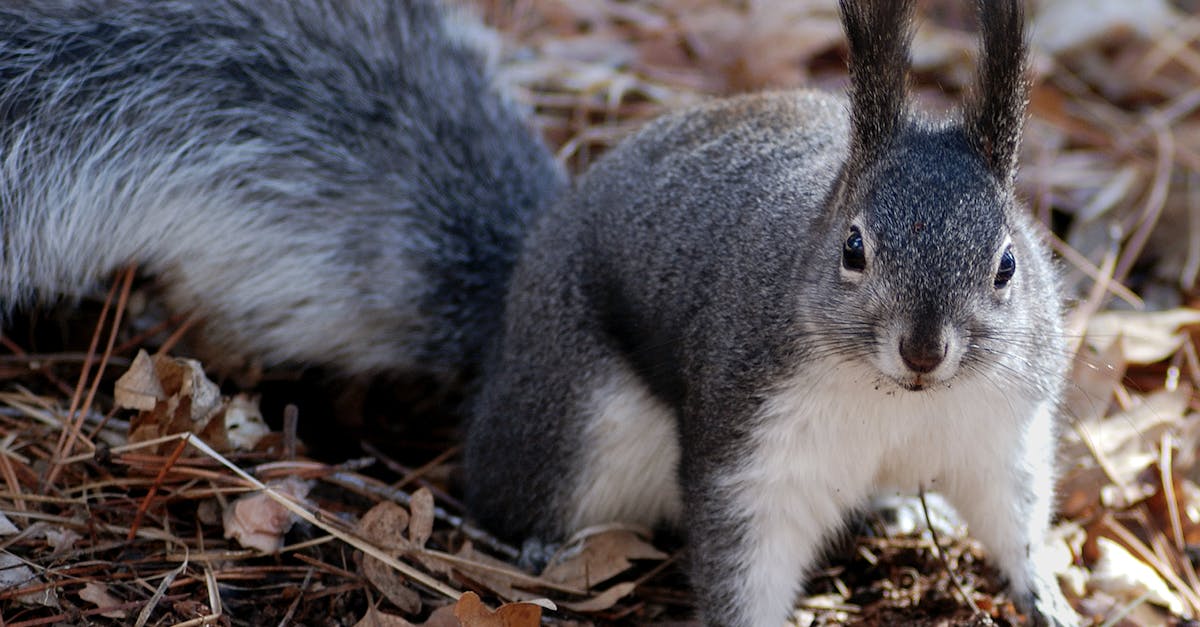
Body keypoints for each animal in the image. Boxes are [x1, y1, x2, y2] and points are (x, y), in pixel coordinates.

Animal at [0, 1, 1078, 625]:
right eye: (852, 249)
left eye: (1009, 264)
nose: (925, 349)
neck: (900, 405)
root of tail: (516, 296)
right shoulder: (754, 439)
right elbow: (744, 556)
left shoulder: (1000, 432)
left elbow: (1015, 521)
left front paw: (1051, 600)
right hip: (580, 422)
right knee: (507, 483)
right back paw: (535, 545)